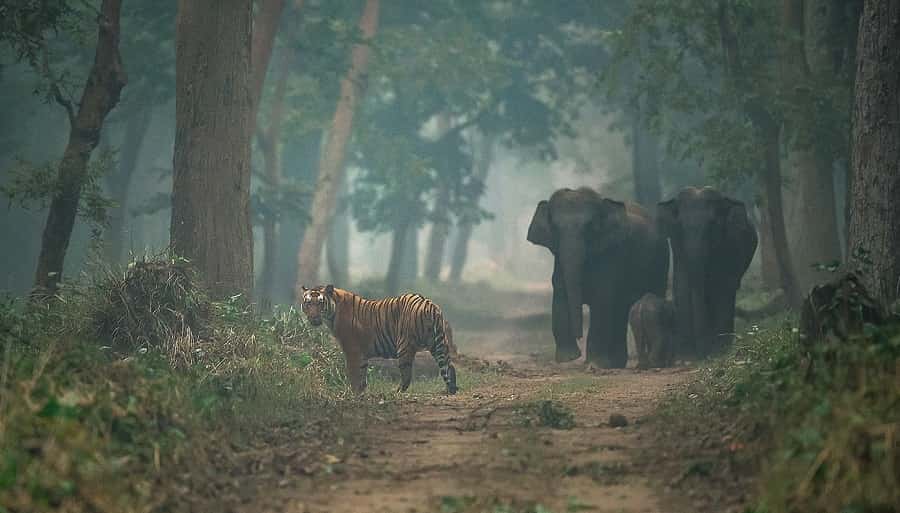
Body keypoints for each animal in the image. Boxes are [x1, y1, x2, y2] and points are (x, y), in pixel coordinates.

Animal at [300, 284, 458, 396]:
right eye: (308, 303)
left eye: (320, 303)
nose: (313, 317)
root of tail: (429, 304)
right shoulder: (361, 353)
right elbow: (362, 373)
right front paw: (361, 391)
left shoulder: (351, 349)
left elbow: (353, 373)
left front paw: (352, 393)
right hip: (439, 344)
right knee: (449, 366)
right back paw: (450, 390)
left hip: (405, 346)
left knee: (407, 375)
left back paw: (396, 392)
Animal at [528, 186, 668, 366]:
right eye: (555, 227)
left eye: (589, 226)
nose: (579, 336)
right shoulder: (559, 260)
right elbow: (560, 292)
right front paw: (568, 358)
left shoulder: (610, 255)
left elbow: (601, 298)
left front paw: (594, 363)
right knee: (620, 309)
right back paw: (615, 363)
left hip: (661, 260)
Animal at [656, 186, 756, 358]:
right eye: (680, 226)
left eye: (712, 225)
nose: (702, 354)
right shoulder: (677, 247)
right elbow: (682, 286)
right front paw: (687, 355)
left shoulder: (730, 242)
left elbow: (723, 286)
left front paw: (720, 350)